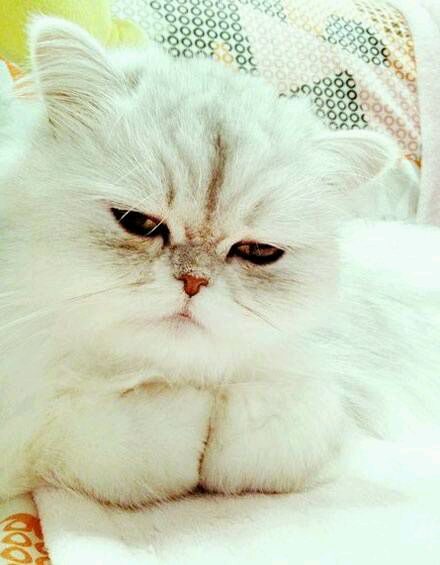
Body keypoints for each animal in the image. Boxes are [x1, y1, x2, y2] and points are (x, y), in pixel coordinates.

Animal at [0, 17, 436, 507]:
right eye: (137, 222)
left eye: (258, 252)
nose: (193, 282)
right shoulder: (27, 420)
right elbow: (104, 441)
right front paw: (187, 420)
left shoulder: (333, 399)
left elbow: (271, 435)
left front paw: (221, 418)